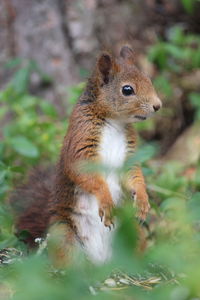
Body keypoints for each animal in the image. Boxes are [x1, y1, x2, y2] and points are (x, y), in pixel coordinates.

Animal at [10, 45, 162, 266]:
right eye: (127, 90)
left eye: (148, 80)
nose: (158, 105)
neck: (115, 122)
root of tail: (101, 264)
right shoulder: (81, 141)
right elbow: (86, 175)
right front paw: (106, 201)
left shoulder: (129, 154)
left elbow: (134, 175)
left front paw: (142, 199)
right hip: (62, 234)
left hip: (133, 231)